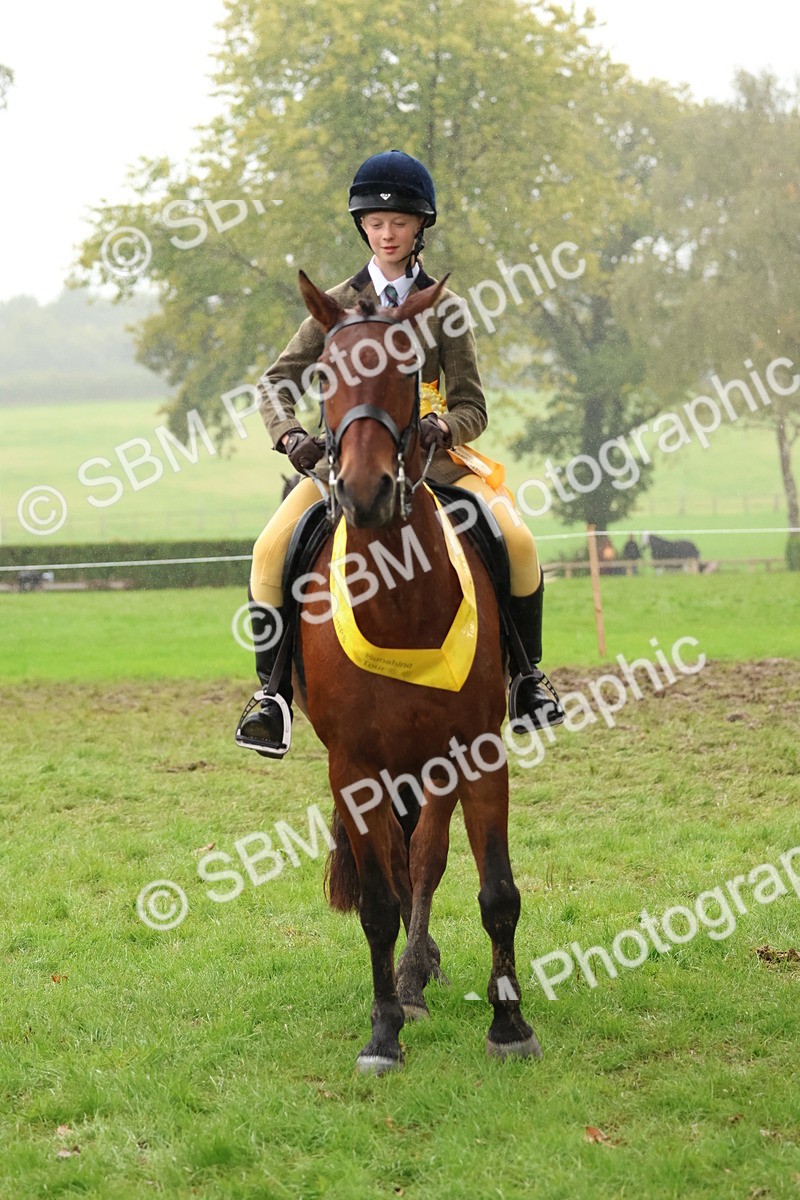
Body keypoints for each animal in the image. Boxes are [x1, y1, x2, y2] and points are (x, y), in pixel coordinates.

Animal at [286, 270, 541, 1074]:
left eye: (407, 373)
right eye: (324, 375)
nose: (364, 492)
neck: (398, 599)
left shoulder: (476, 752)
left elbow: (495, 891)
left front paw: (509, 1025)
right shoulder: (355, 767)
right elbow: (376, 902)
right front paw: (382, 1034)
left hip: (433, 761)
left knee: (425, 857)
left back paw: (417, 975)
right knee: (401, 870)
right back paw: (405, 986)